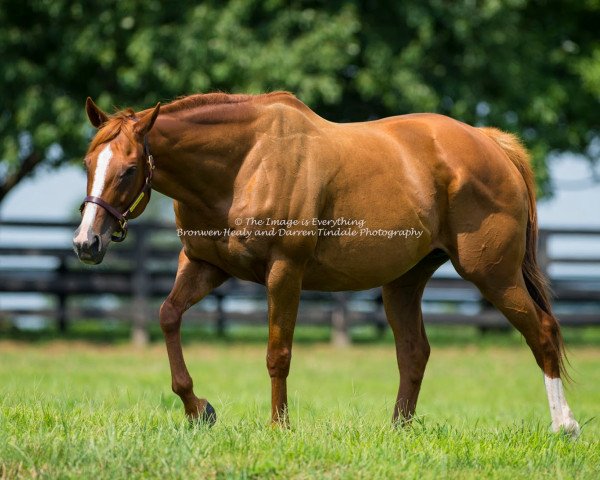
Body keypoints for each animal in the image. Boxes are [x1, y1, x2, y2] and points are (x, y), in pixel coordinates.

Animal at [72, 91, 580, 436]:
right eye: (88, 163)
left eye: (129, 170)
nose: (86, 243)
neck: (244, 164)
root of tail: (492, 144)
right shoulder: (203, 265)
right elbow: (167, 316)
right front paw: (200, 410)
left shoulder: (285, 272)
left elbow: (278, 353)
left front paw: (279, 427)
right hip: (404, 282)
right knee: (414, 352)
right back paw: (397, 431)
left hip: (493, 274)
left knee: (542, 331)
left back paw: (565, 426)